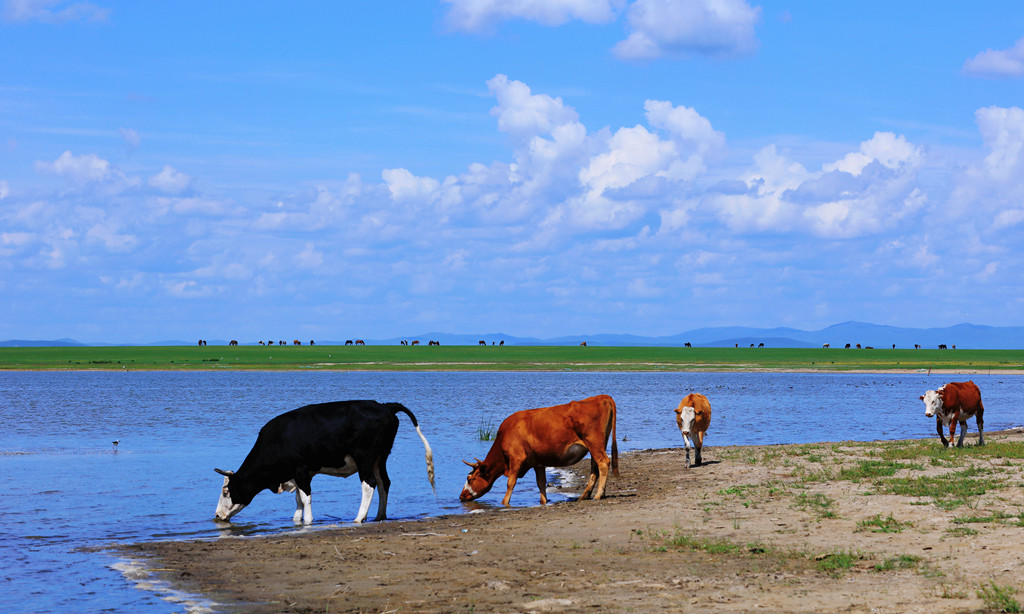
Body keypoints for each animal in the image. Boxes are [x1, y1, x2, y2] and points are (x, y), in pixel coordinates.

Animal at [214, 401, 434, 523]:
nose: (216, 515)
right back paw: (379, 516)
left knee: (369, 484)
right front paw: (297, 519)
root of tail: (384, 406)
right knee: (383, 483)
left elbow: (305, 498)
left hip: (365, 459)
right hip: (380, 458)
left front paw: (308, 520)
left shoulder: (301, 470)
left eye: (226, 491)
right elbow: (299, 499)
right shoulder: (302, 474)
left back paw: (359, 518)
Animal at [462, 395, 618, 505]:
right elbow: (541, 483)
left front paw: (505, 503)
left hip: (594, 444)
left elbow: (511, 482)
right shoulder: (538, 463)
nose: (461, 496)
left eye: (470, 479)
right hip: (597, 446)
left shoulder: (516, 458)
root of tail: (601, 397)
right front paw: (543, 502)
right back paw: (589, 495)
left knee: (603, 463)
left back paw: (597, 495)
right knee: (595, 468)